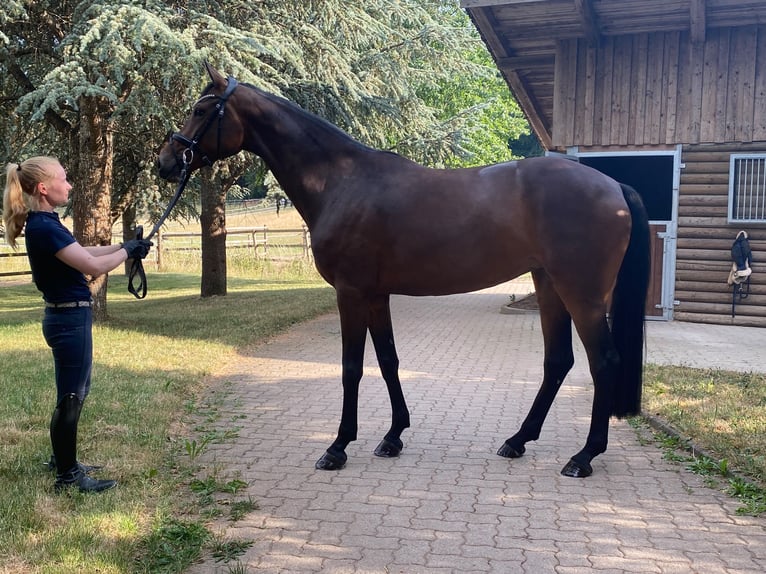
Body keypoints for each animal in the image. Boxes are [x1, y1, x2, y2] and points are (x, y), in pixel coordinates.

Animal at [157, 63, 650, 478]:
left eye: (201, 110)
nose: (166, 162)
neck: (342, 183)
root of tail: (614, 185)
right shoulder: (376, 294)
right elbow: (389, 360)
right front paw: (393, 437)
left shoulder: (350, 292)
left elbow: (352, 367)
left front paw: (337, 447)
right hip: (549, 285)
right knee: (557, 361)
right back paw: (517, 440)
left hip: (582, 293)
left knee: (603, 361)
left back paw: (584, 456)